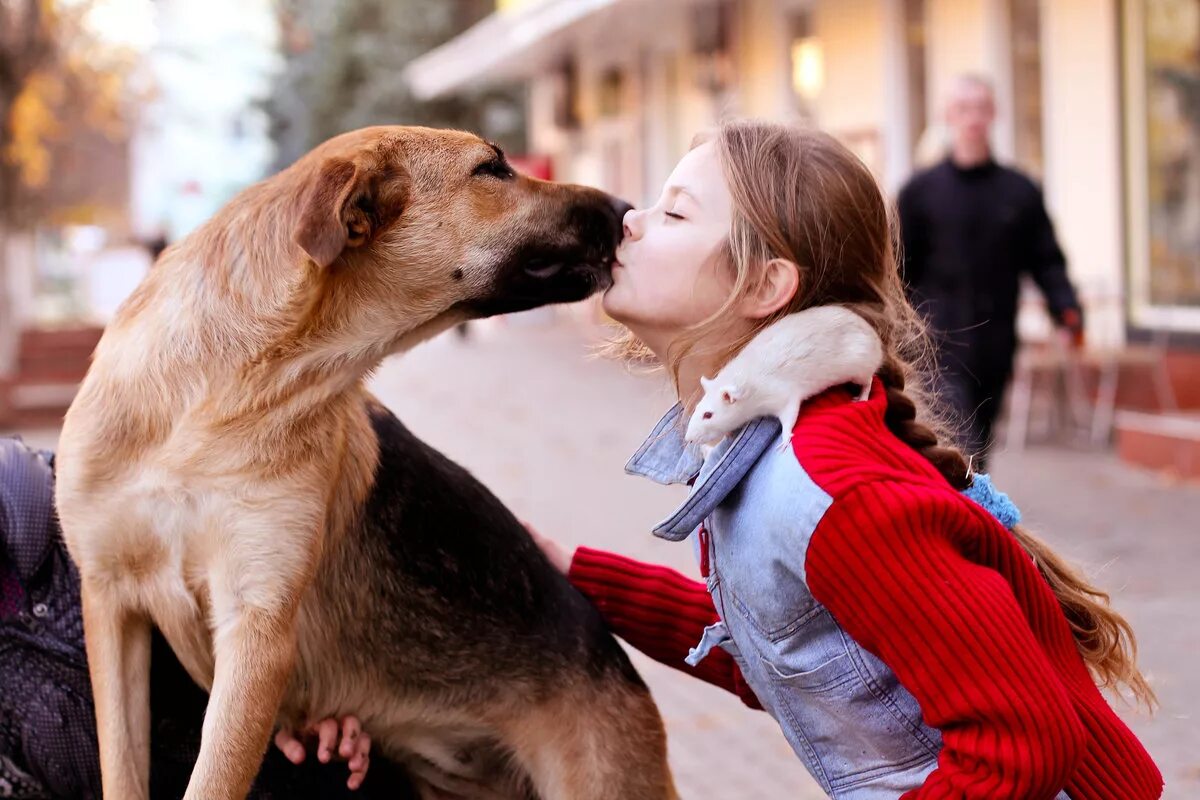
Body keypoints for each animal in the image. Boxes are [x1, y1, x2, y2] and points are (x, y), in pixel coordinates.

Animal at [56, 128, 681, 796]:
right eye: (492, 169)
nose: (626, 209)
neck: (227, 397)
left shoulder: (256, 631)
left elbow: (212, 780)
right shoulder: (111, 607)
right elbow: (122, 767)